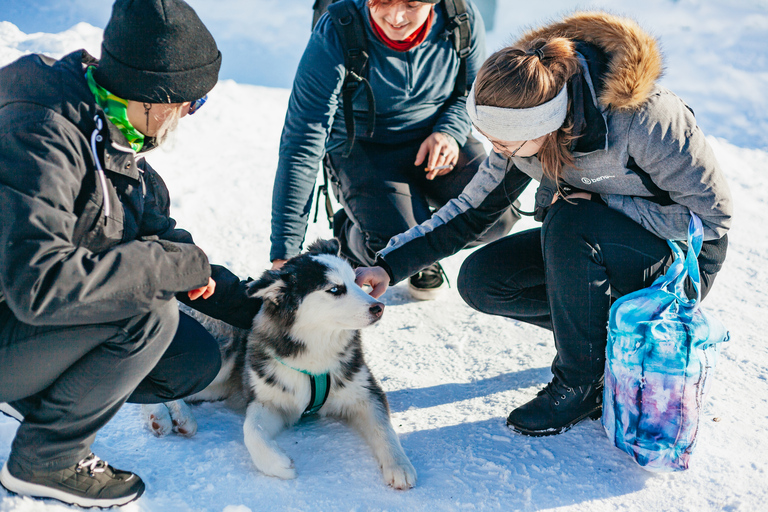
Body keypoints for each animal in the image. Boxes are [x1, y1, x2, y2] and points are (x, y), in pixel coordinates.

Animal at [141, 242, 416, 490]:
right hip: (220, 356)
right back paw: (167, 416)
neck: (315, 354)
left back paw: (174, 417)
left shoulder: (364, 392)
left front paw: (398, 465)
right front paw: (275, 463)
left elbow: (383, 427)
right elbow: (251, 429)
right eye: (335, 289)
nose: (379, 307)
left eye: (357, 281)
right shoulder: (268, 399)